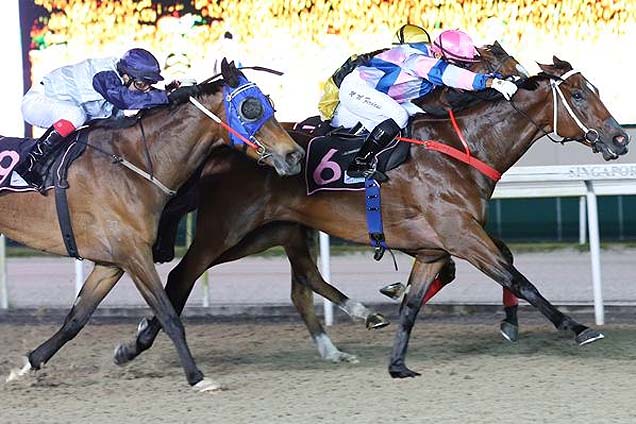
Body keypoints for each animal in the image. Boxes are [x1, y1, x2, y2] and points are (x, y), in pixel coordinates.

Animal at [1, 60, 306, 390]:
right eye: (250, 107)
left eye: (270, 104)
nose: (294, 155)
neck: (133, 164)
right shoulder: (135, 254)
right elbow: (169, 314)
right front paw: (197, 377)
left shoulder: (111, 263)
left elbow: (76, 319)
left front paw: (28, 364)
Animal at [118, 56, 628, 378]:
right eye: (578, 95)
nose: (620, 139)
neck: (463, 149)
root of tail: (224, 150)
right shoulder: (461, 234)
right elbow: (517, 276)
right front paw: (578, 328)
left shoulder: (433, 247)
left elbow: (413, 305)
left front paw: (398, 363)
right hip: (225, 230)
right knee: (183, 275)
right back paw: (137, 340)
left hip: (267, 232)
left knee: (295, 283)